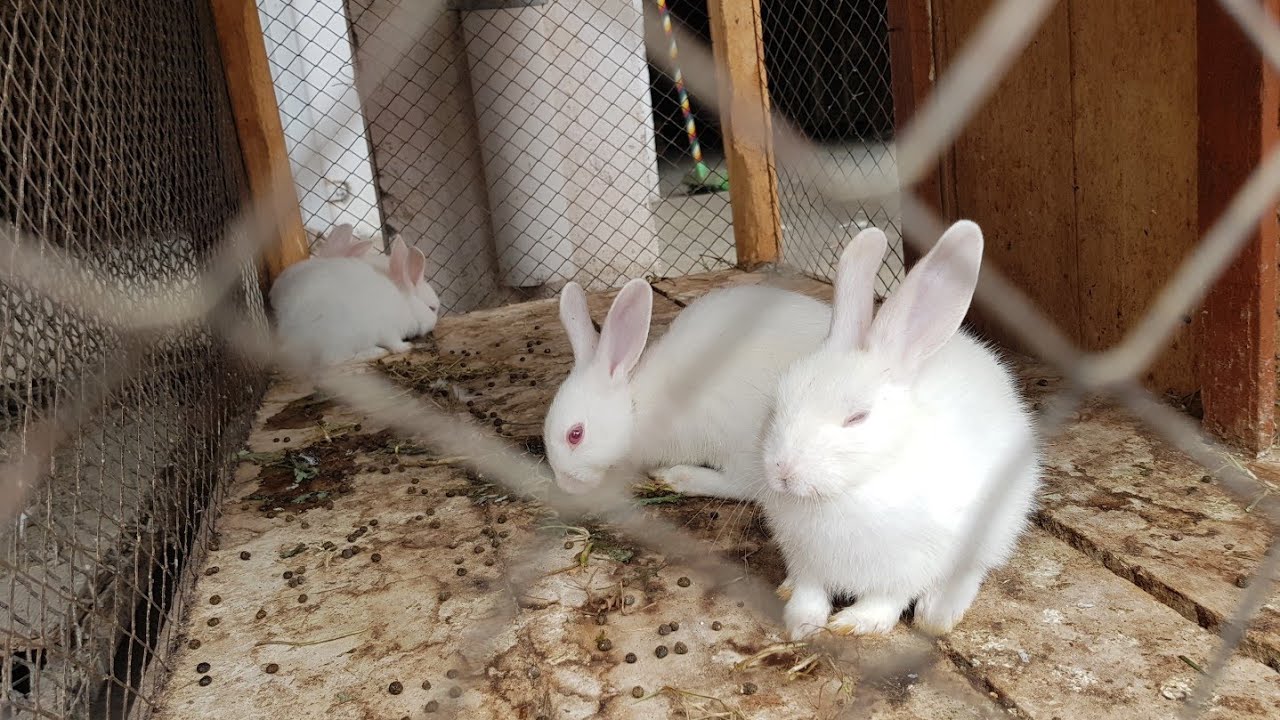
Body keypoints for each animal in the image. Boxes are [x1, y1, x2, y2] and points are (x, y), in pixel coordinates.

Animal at [270, 235, 438, 370]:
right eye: (432, 308)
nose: (433, 324)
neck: (405, 304)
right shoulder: (388, 330)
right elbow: (394, 344)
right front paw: (406, 347)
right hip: (341, 337)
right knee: (332, 361)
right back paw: (376, 352)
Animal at [760, 220, 1040, 641]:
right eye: (777, 403)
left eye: (857, 418)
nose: (783, 471)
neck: (848, 492)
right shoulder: (805, 560)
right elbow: (810, 591)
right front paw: (803, 624)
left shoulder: (911, 564)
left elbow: (887, 598)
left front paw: (855, 623)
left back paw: (938, 613)